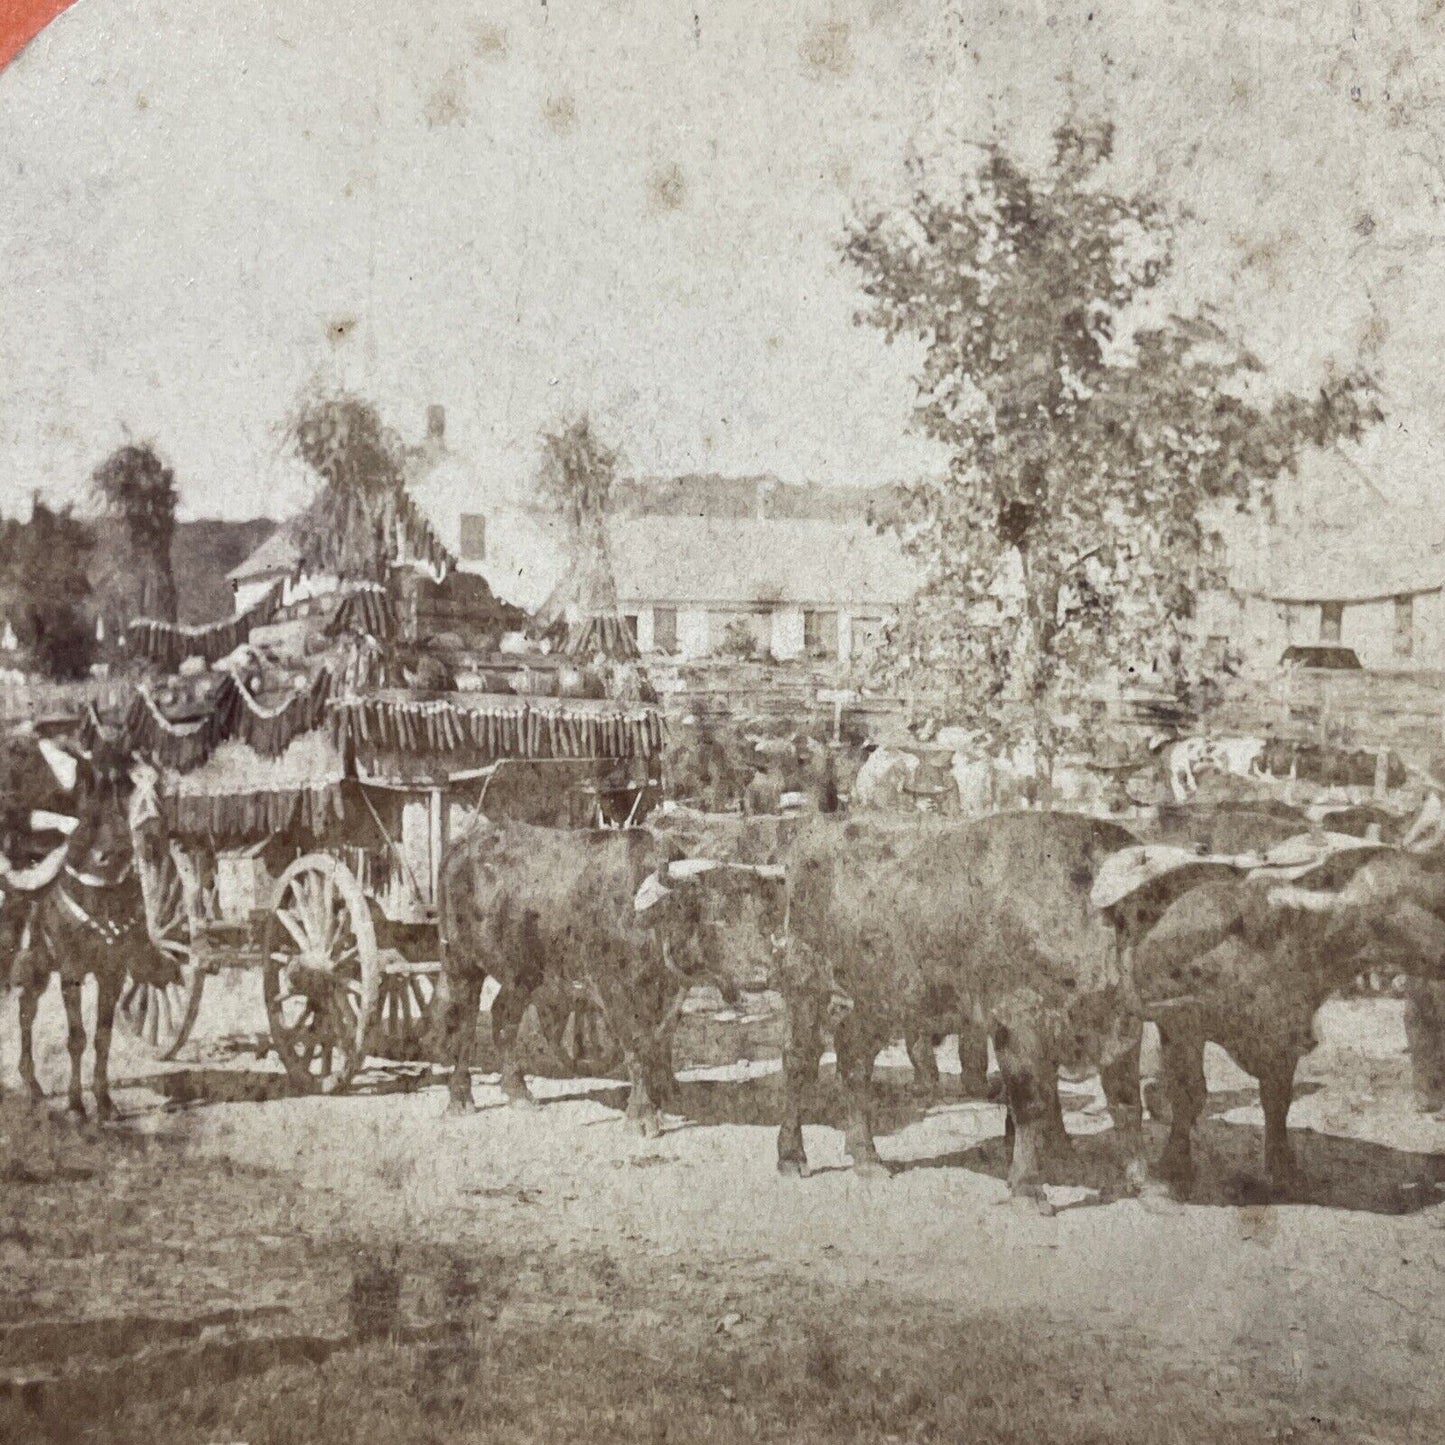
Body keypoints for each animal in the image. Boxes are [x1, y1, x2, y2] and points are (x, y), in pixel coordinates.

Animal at [4, 734, 179, 1115]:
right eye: (119, 785)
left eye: (156, 784)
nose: (151, 835)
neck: (102, 893)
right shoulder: (71, 971)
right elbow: (77, 1038)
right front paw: (75, 1105)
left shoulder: (112, 973)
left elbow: (102, 1037)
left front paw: (105, 1102)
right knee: (26, 1012)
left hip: (39, 968)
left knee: (25, 1011)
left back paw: (33, 1085)